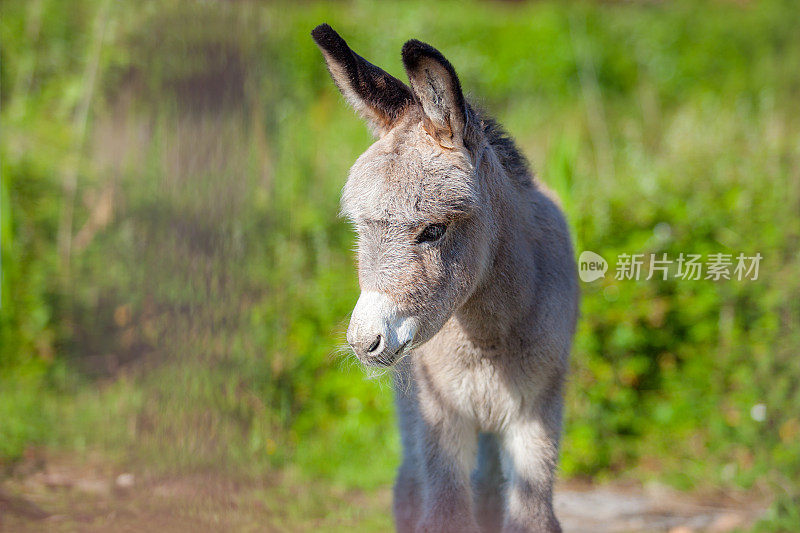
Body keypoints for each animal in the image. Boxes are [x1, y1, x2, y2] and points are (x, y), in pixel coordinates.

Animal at [310, 25, 580, 532]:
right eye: (359, 228)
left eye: (433, 230)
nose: (363, 342)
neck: (490, 338)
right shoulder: (441, 416)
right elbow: (445, 513)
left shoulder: (536, 413)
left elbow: (531, 517)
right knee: (410, 487)